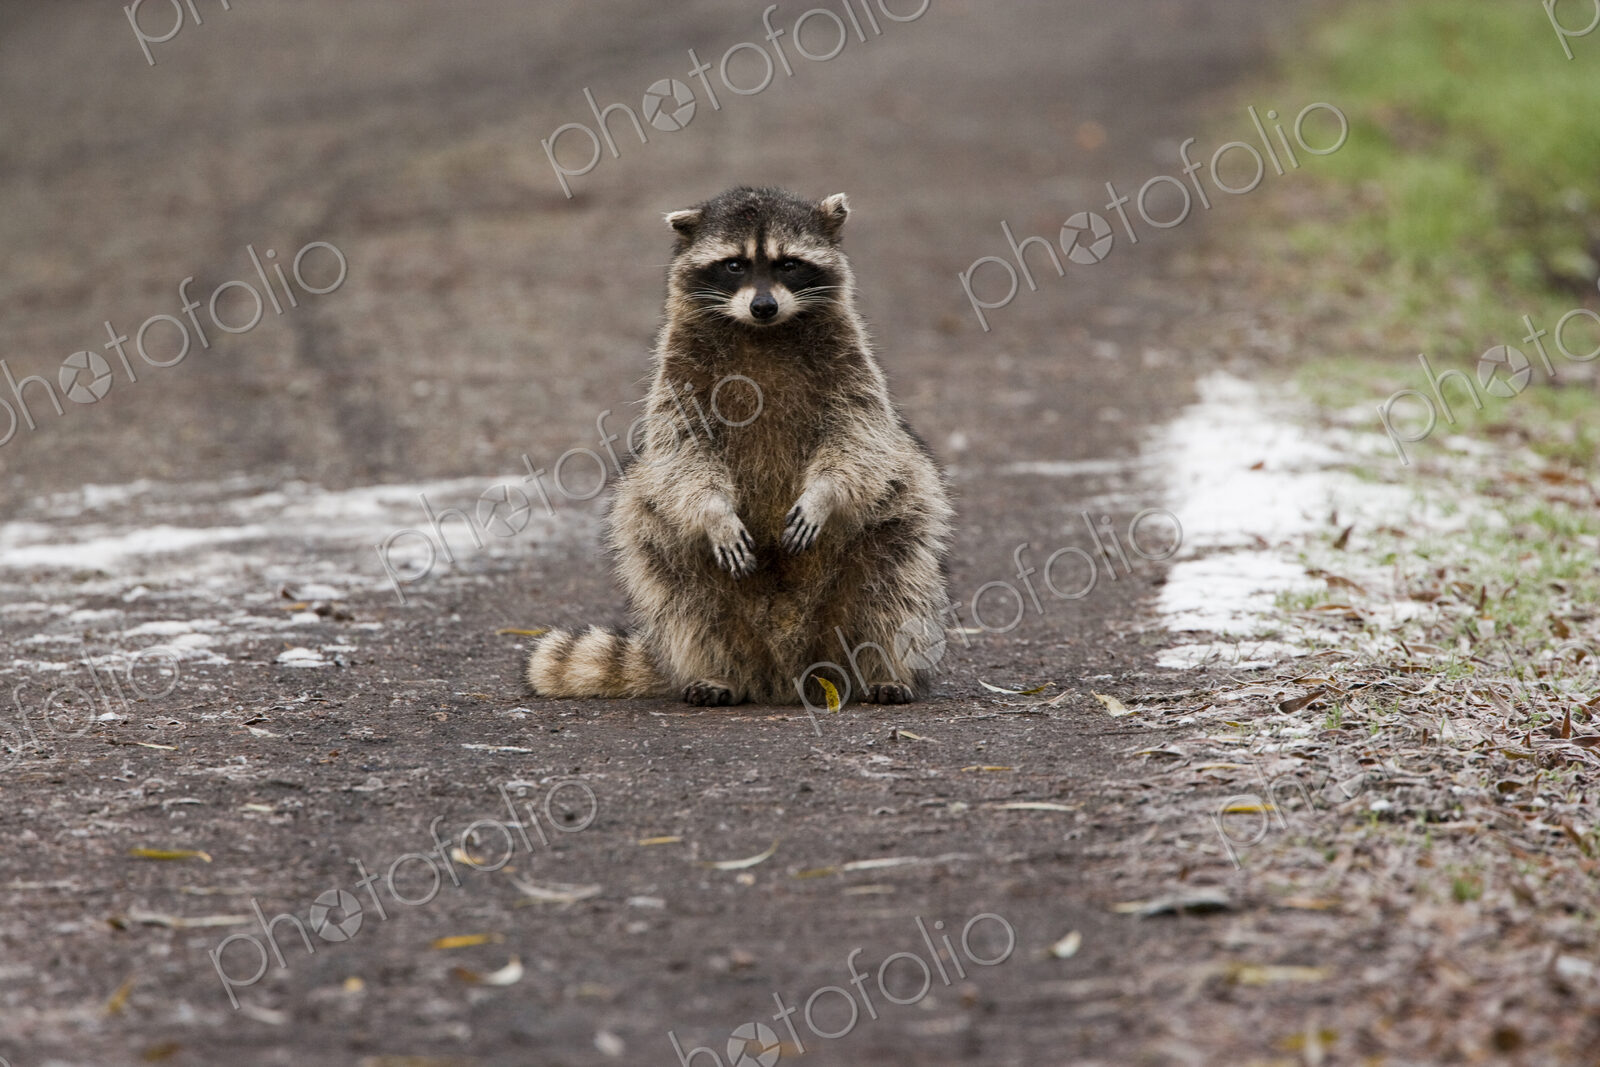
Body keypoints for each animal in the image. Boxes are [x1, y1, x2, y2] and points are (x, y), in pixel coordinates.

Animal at [526, 186, 953, 706]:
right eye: (734, 265)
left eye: (788, 264)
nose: (763, 306)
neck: (762, 332)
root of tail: (789, 673)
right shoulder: (679, 378)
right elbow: (683, 452)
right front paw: (715, 513)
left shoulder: (852, 371)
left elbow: (858, 438)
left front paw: (824, 495)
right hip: (668, 555)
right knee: (674, 579)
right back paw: (716, 670)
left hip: (892, 537)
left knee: (895, 576)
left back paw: (882, 669)